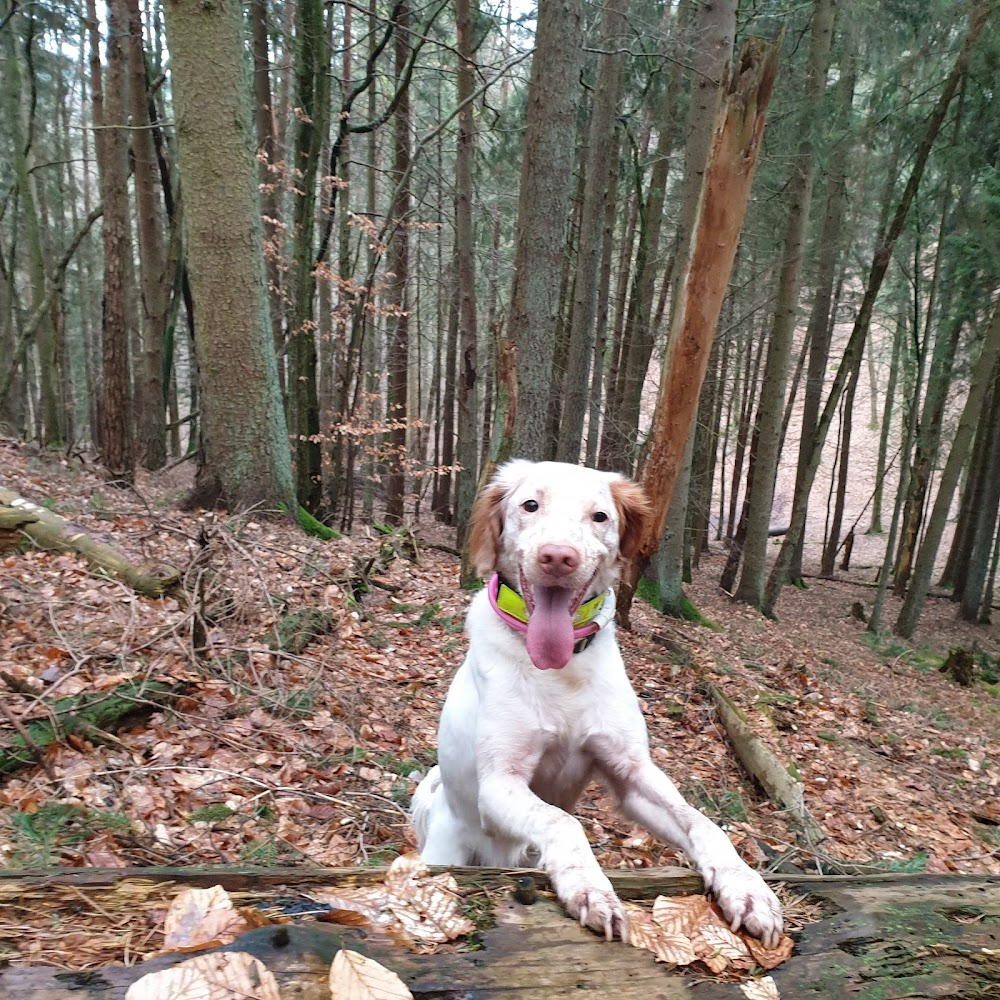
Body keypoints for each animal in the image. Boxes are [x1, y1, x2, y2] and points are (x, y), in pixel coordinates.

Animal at [410, 460, 784, 944]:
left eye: (600, 516)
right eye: (530, 505)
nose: (557, 557)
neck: (562, 668)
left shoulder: (632, 773)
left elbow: (701, 821)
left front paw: (746, 886)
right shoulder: (498, 784)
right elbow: (562, 821)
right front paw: (590, 887)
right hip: (450, 846)